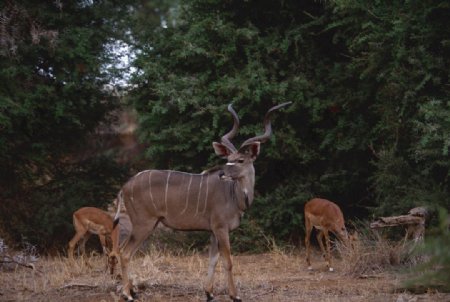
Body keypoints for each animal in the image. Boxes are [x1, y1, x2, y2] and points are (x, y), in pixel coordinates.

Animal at [112, 102, 288, 300]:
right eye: (228, 159)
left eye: (240, 160)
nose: (222, 173)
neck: (235, 196)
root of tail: (125, 186)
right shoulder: (221, 228)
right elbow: (228, 262)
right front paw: (235, 296)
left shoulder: (213, 231)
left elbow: (213, 260)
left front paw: (209, 293)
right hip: (144, 223)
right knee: (125, 253)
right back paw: (127, 294)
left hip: (149, 224)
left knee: (124, 251)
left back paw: (132, 290)